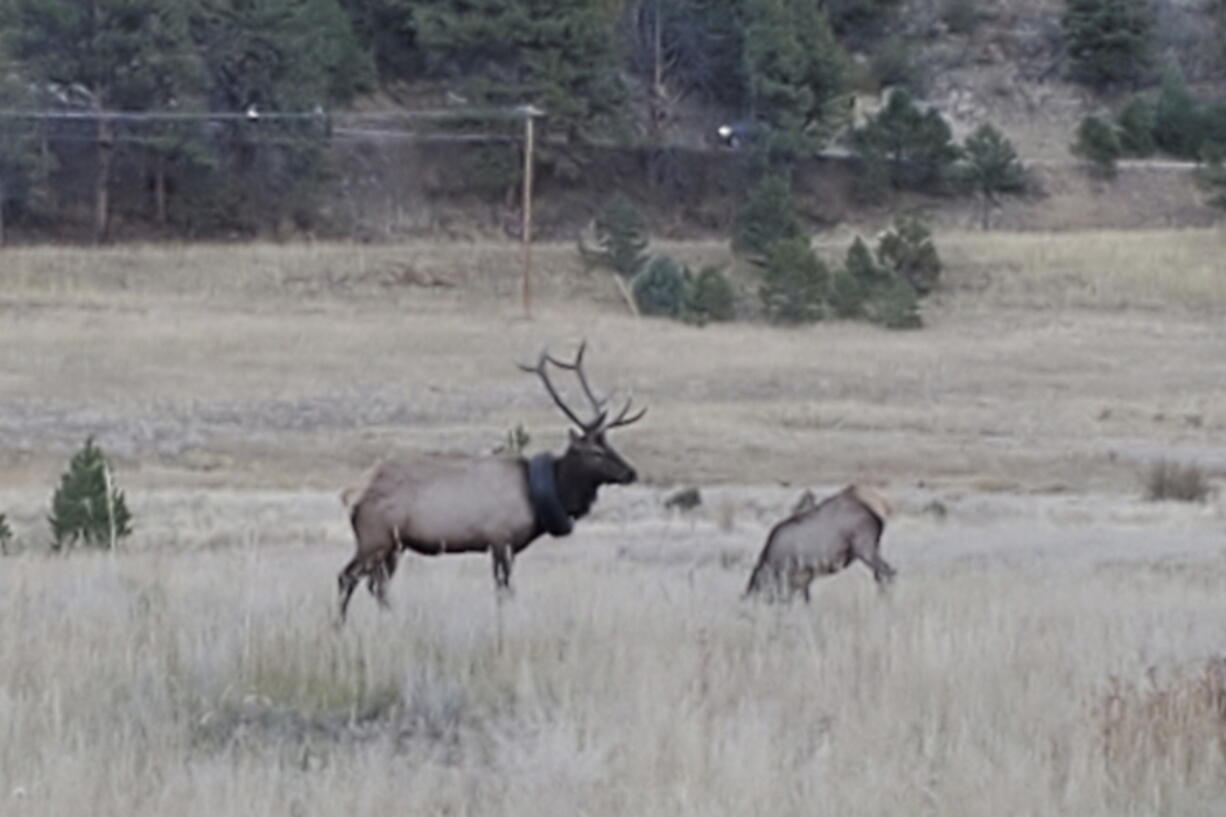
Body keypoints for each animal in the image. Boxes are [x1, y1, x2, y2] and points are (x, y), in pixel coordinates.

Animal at [331, 341, 647, 620]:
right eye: (595, 452)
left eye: (610, 444)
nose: (631, 472)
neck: (537, 498)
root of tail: (350, 494)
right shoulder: (500, 538)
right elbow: (504, 591)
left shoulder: (504, 546)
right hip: (375, 537)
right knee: (346, 577)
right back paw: (339, 627)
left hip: (394, 545)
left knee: (377, 586)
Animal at [740, 480, 897, 601]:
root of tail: (876, 517)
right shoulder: (803, 580)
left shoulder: (796, 578)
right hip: (873, 548)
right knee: (882, 575)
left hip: (865, 550)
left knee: (888, 573)